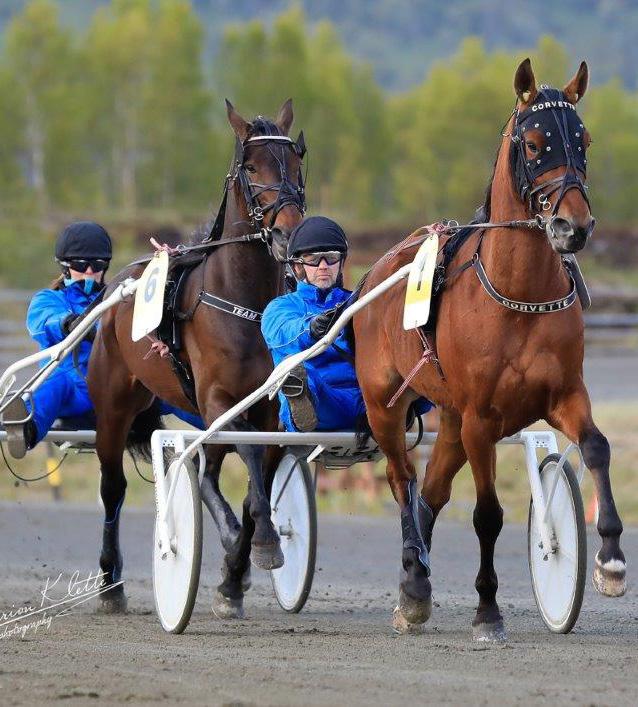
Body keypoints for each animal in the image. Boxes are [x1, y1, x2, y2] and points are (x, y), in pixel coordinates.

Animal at [90, 101, 308, 620]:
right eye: (251, 168)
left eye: (297, 164)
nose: (288, 232)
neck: (244, 301)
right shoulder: (217, 400)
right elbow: (248, 459)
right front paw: (257, 543)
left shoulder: (268, 409)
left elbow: (257, 483)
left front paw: (235, 575)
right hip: (113, 405)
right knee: (113, 487)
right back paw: (110, 584)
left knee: (208, 472)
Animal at [352, 58, 628, 640]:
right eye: (535, 142)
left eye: (584, 139)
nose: (573, 227)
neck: (519, 294)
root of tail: (375, 274)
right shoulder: (482, 416)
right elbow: (487, 515)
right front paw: (487, 610)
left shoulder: (563, 395)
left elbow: (597, 448)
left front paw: (610, 560)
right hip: (386, 406)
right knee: (402, 480)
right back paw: (414, 579)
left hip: (452, 419)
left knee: (430, 493)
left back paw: (414, 586)